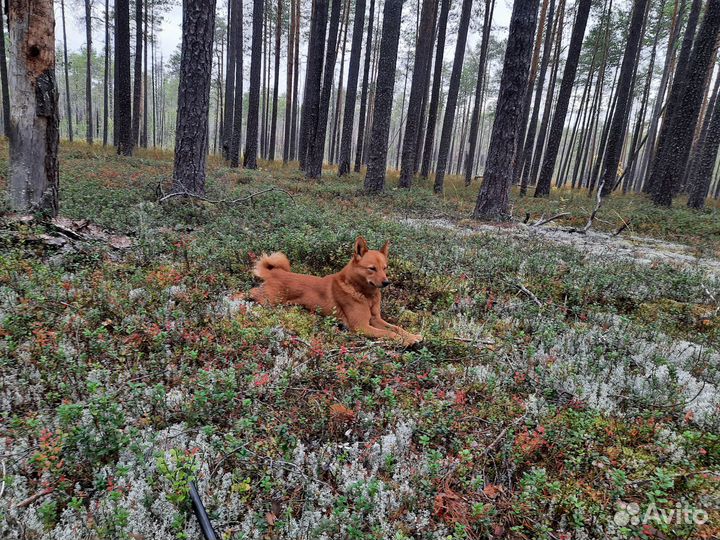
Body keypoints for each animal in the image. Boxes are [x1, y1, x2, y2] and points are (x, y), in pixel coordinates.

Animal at [252, 236, 422, 346]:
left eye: (385, 268)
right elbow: (389, 333)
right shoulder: (361, 326)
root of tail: (275, 272)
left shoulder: (375, 319)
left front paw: (412, 335)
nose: (387, 282)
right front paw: (407, 340)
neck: (365, 295)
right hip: (268, 300)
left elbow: (396, 327)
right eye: (372, 268)